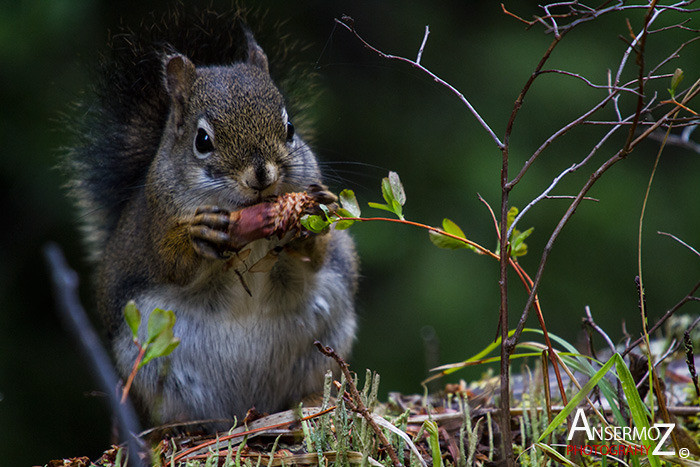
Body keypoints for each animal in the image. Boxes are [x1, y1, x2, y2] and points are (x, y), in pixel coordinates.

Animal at [66, 8, 358, 432]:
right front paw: (200, 238)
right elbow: (170, 263)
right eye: (203, 141)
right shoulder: (156, 221)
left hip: (325, 343)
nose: (262, 174)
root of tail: (247, 410)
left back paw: (311, 404)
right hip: (152, 363)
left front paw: (308, 220)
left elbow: (316, 257)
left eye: (289, 129)